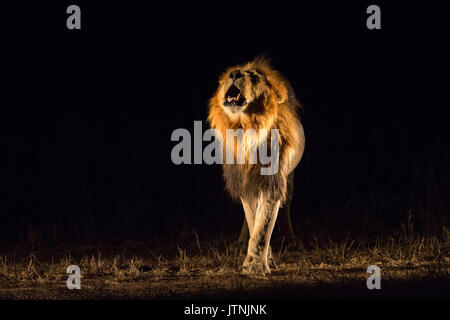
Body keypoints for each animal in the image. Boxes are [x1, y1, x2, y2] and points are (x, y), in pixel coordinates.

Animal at [207, 57, 306, 276]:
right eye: (230, 73)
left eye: (253, 77)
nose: (234, 73)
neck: (245, 127)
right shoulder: (244, 181)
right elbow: (254, 221)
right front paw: (262, 257)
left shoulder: (271, 182)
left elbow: (263, 226)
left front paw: (256, 265)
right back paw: (241, 242)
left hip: (290, 178)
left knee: (285, 208)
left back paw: (291, 241)